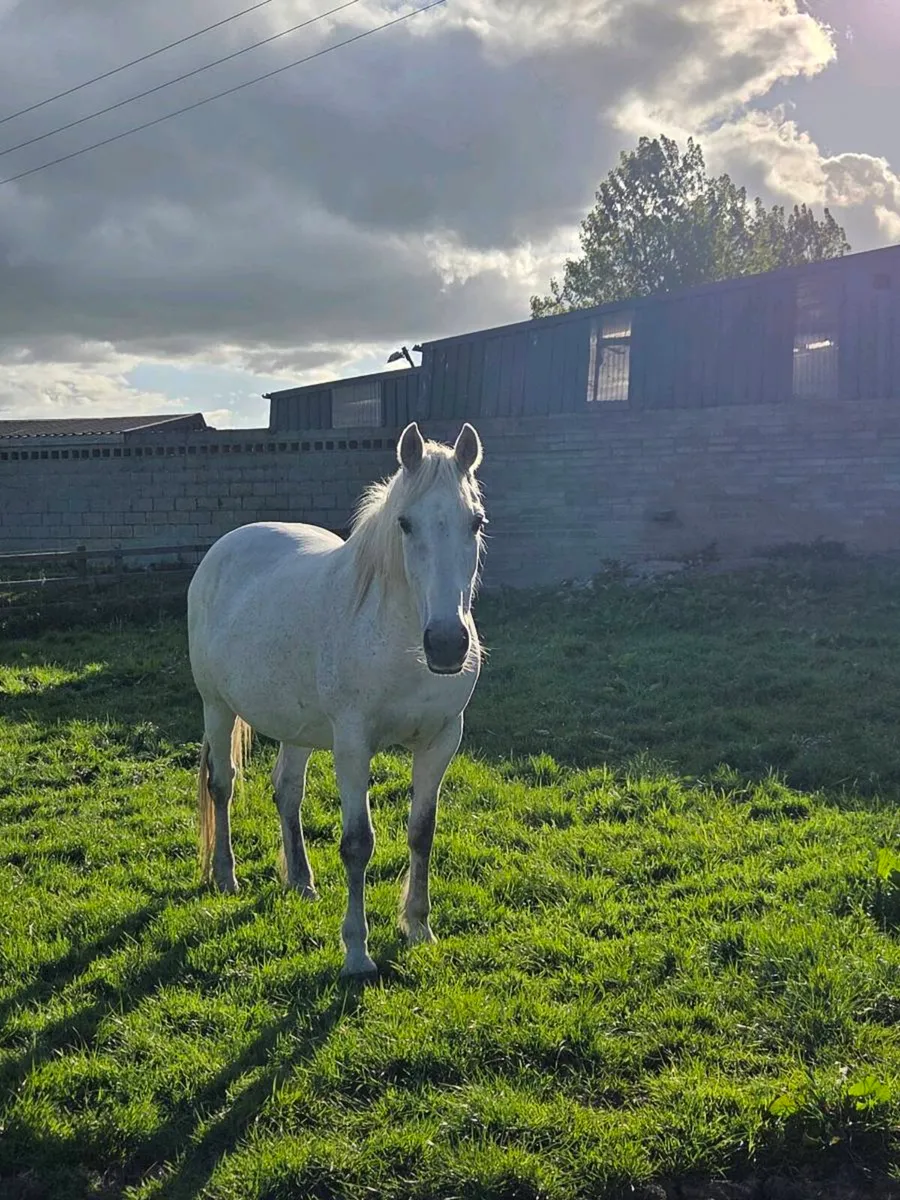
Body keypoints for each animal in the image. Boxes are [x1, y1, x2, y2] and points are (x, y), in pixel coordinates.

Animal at [187, 421, 487, 977]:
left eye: (475, 522)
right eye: (405, 523)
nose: (446, 643)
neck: (399, 641)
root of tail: (226, 547)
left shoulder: (440, 742)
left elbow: (422, 832)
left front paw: (419, 928)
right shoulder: (352, 747)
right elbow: (358, 844)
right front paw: (357, 952)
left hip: (297, 728)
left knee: (287, 793)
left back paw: (301, 880)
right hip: (217, 708)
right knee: (223, 785)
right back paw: (225, 876)